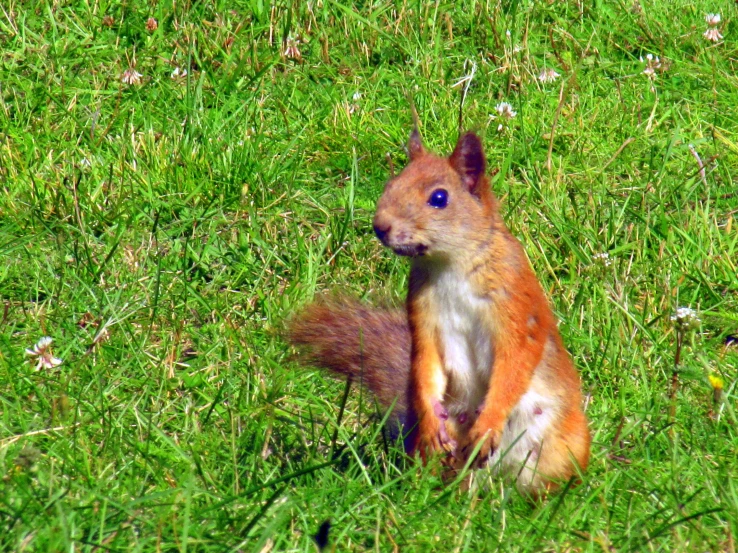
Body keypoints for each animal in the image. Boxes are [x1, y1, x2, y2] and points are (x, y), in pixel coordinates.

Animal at [290, 129, 588, 492]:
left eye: (439, 198)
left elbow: (513, 366)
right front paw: (433, 423)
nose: (380, 226)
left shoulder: (516, 307)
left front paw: (488, 425)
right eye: (391, 183)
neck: (451, 265)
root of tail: (500, 485)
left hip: (561, 448)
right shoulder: (423, 318)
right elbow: (424, 366)